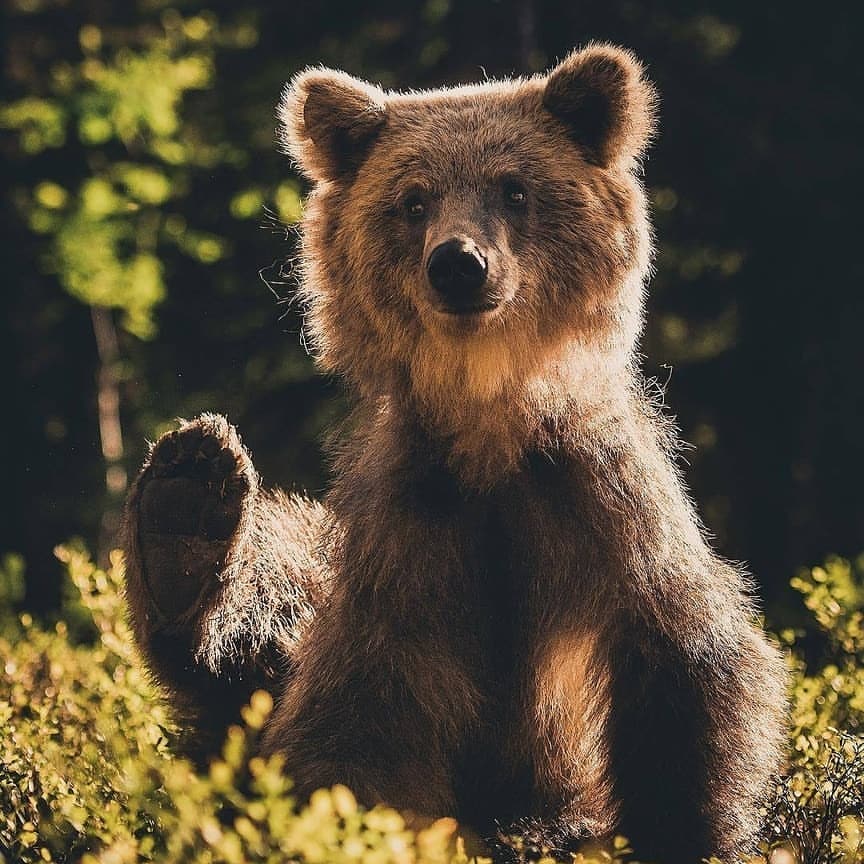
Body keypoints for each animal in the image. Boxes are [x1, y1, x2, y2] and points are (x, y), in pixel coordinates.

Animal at [122, 44, 788, 864]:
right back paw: (185, 505)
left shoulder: (596, 502)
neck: (487, 427)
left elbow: (685, 670)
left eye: (515, 188)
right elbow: (359, 717)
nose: (459, 263)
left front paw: (690, 827)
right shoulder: (414, 532)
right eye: (412, 200)